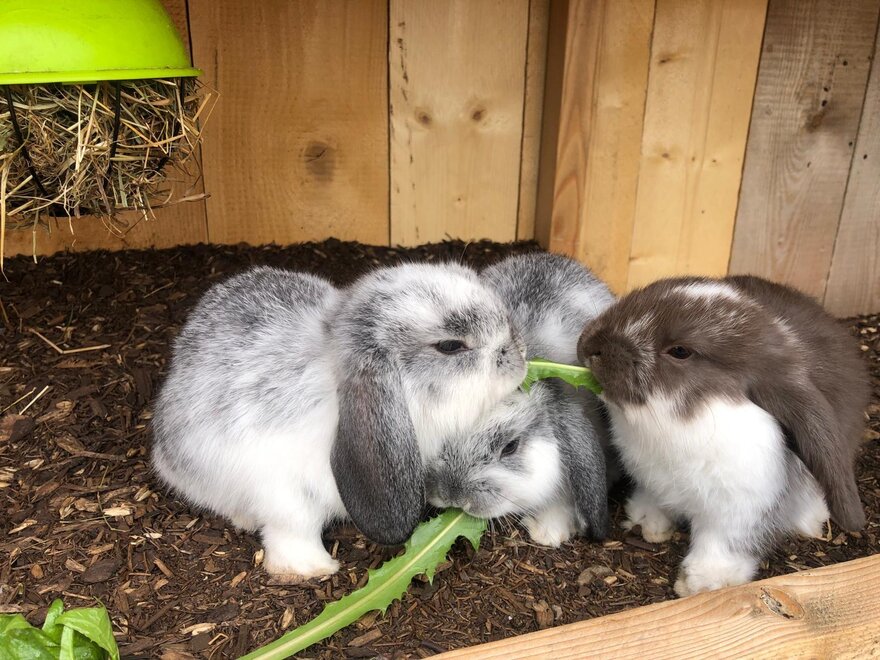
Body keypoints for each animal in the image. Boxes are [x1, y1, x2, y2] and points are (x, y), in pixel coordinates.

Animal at [577, 275, 870, 597]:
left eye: (680, 351)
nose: (588, 344)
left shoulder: (744, 510)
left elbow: (724, 544)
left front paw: (700, 582)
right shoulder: (655, 481)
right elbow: (655, 501)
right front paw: (646, 521)